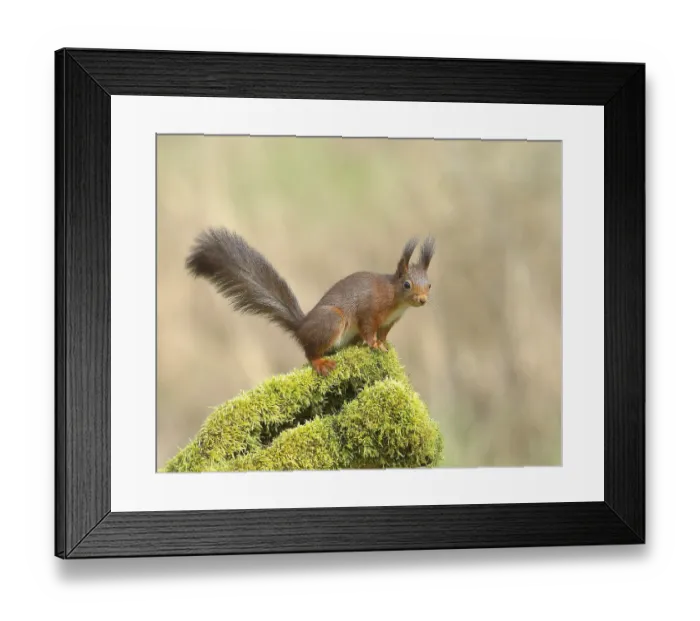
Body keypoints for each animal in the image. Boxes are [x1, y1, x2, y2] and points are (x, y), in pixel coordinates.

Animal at [185, 227, 435, 376]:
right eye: (407, 285)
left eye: (430, 285)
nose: (423, 300)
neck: (395, 299)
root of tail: (301, 328)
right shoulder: (369, 310)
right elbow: (368, 329)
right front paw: (374, 344)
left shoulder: (389, 322)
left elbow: (383, 334)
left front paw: (384, 345)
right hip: (332, 321)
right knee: (310, 352)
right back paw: (320, 362)